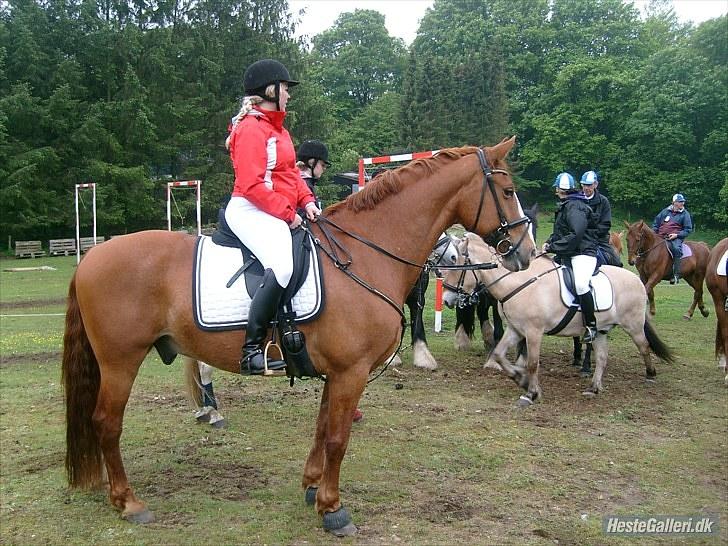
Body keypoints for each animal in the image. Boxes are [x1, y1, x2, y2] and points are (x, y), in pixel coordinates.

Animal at [61, 138, 536, 532]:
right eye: (508, 192)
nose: (526, 254)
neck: (364, 253)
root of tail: (91, 258)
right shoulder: (351, 372)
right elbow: (338, 438)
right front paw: (333, 509)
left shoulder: (337, 372)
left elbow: (323, 428)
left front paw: (312, 488)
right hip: (120, 362)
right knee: (106, 423)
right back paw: (128, 501)